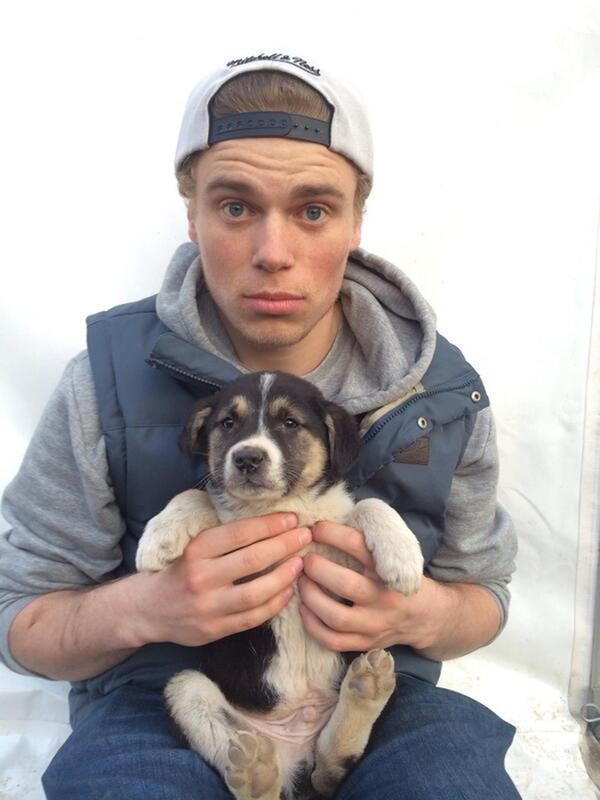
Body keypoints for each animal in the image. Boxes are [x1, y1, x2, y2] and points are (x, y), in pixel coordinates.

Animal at [138, 372, 424, 796]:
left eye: (290, 423)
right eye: (228, 423)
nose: (246, 458)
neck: (281, 506)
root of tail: (297, 743)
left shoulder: (336, 546)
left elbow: (370, 505)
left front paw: (402, 557)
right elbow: (194, 495)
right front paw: (158, 540)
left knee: (332, 767)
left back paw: (366, 689)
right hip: (185, 689)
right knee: (280, 776)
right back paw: (256, 771)